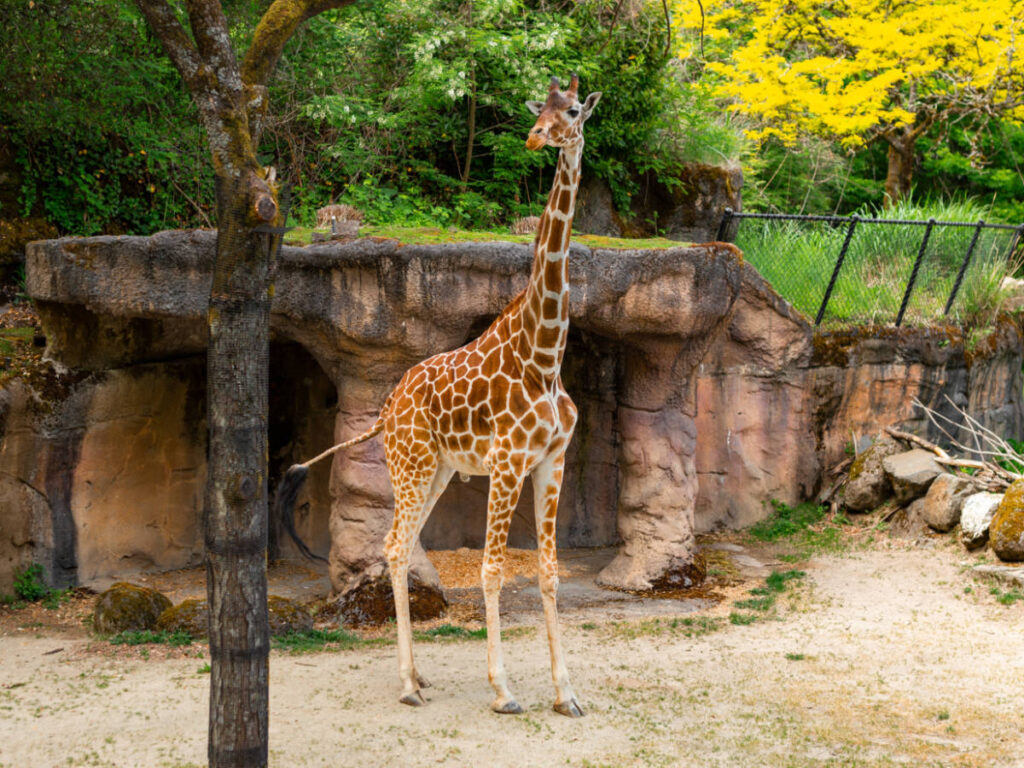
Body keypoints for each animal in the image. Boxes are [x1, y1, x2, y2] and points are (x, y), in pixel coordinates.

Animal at [276, 74, 600, 717]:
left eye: (573, 110)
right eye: (541, 109)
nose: (536, 137)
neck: (544, 355)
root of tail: (385, 410)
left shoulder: (552, 461)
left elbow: (549, 572)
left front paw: (567, 694)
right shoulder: (508, 462)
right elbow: (492, 571)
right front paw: (504, 691)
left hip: (439, 471)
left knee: (400, 545)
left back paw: (418, 675)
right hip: (411, 463)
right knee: (396, 544)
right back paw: (407, 683)